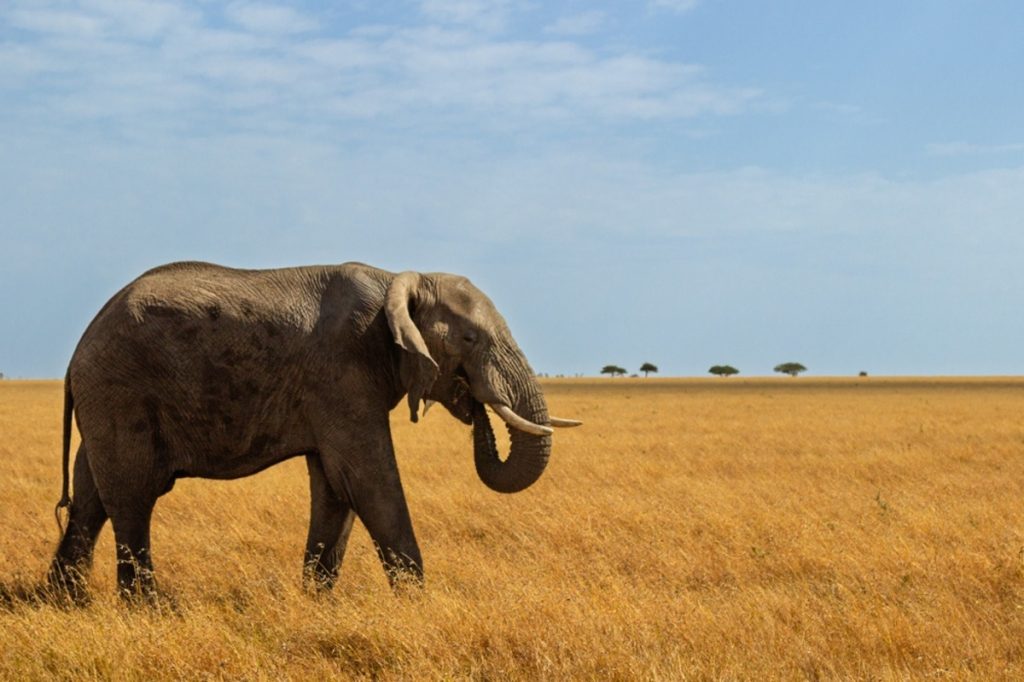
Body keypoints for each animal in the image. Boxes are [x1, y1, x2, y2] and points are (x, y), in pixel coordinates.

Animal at [47, 261, 580, 599]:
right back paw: (147, 609)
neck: (398, 281)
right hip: (121, 392)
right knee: (133, 497)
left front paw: (317, 603)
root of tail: (76, 352)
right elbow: (367, 480)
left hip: (107, 399)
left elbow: (336, 488)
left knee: (91, 496)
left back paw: (64, 602)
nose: (473, 402)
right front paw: (419, 605)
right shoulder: (342, 374)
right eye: (470, 339)